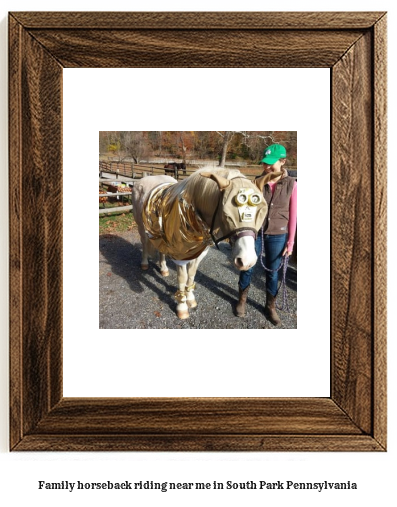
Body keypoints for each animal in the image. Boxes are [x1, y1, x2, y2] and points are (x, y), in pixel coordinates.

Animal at [131, 169, 278, 320]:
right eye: (226, 215)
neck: (190, 212)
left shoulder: (198, 253)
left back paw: (164, 269)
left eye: (261, 212)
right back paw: (144, 263)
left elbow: (191, 275)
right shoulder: (180, 255)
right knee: (144, 242)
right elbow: (182, 278)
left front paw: (190, 299)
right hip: (141, 227)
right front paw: (182, 307)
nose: (247, 261)